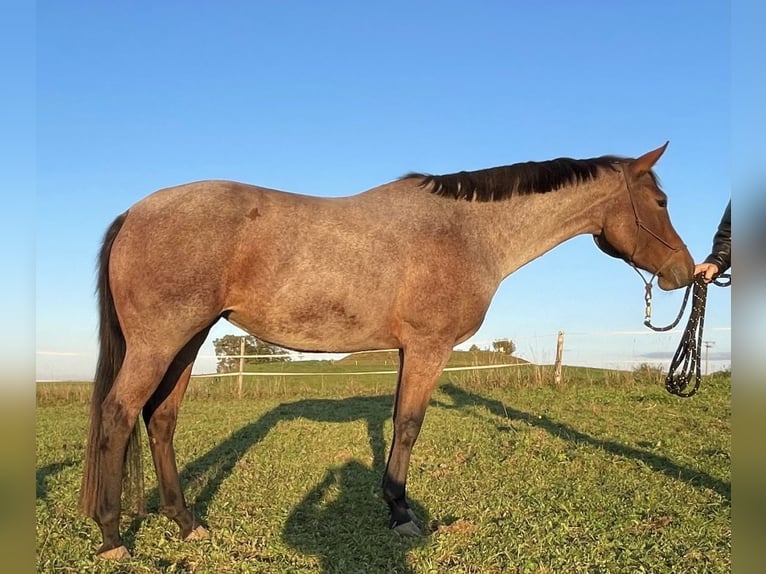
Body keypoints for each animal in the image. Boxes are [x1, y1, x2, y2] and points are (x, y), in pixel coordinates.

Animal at [80, 142, 693, 559]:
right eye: (661, 200)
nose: (684, 272)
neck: (465, 230)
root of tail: (135, 212)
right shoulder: (427, 347)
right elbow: (409, 424)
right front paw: (401, 513)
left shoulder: (405, 350)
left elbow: (400, 420)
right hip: (160, 343)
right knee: (118, 414)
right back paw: (112, 536)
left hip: (188, 342)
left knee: (160, 420)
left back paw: (186, 523)